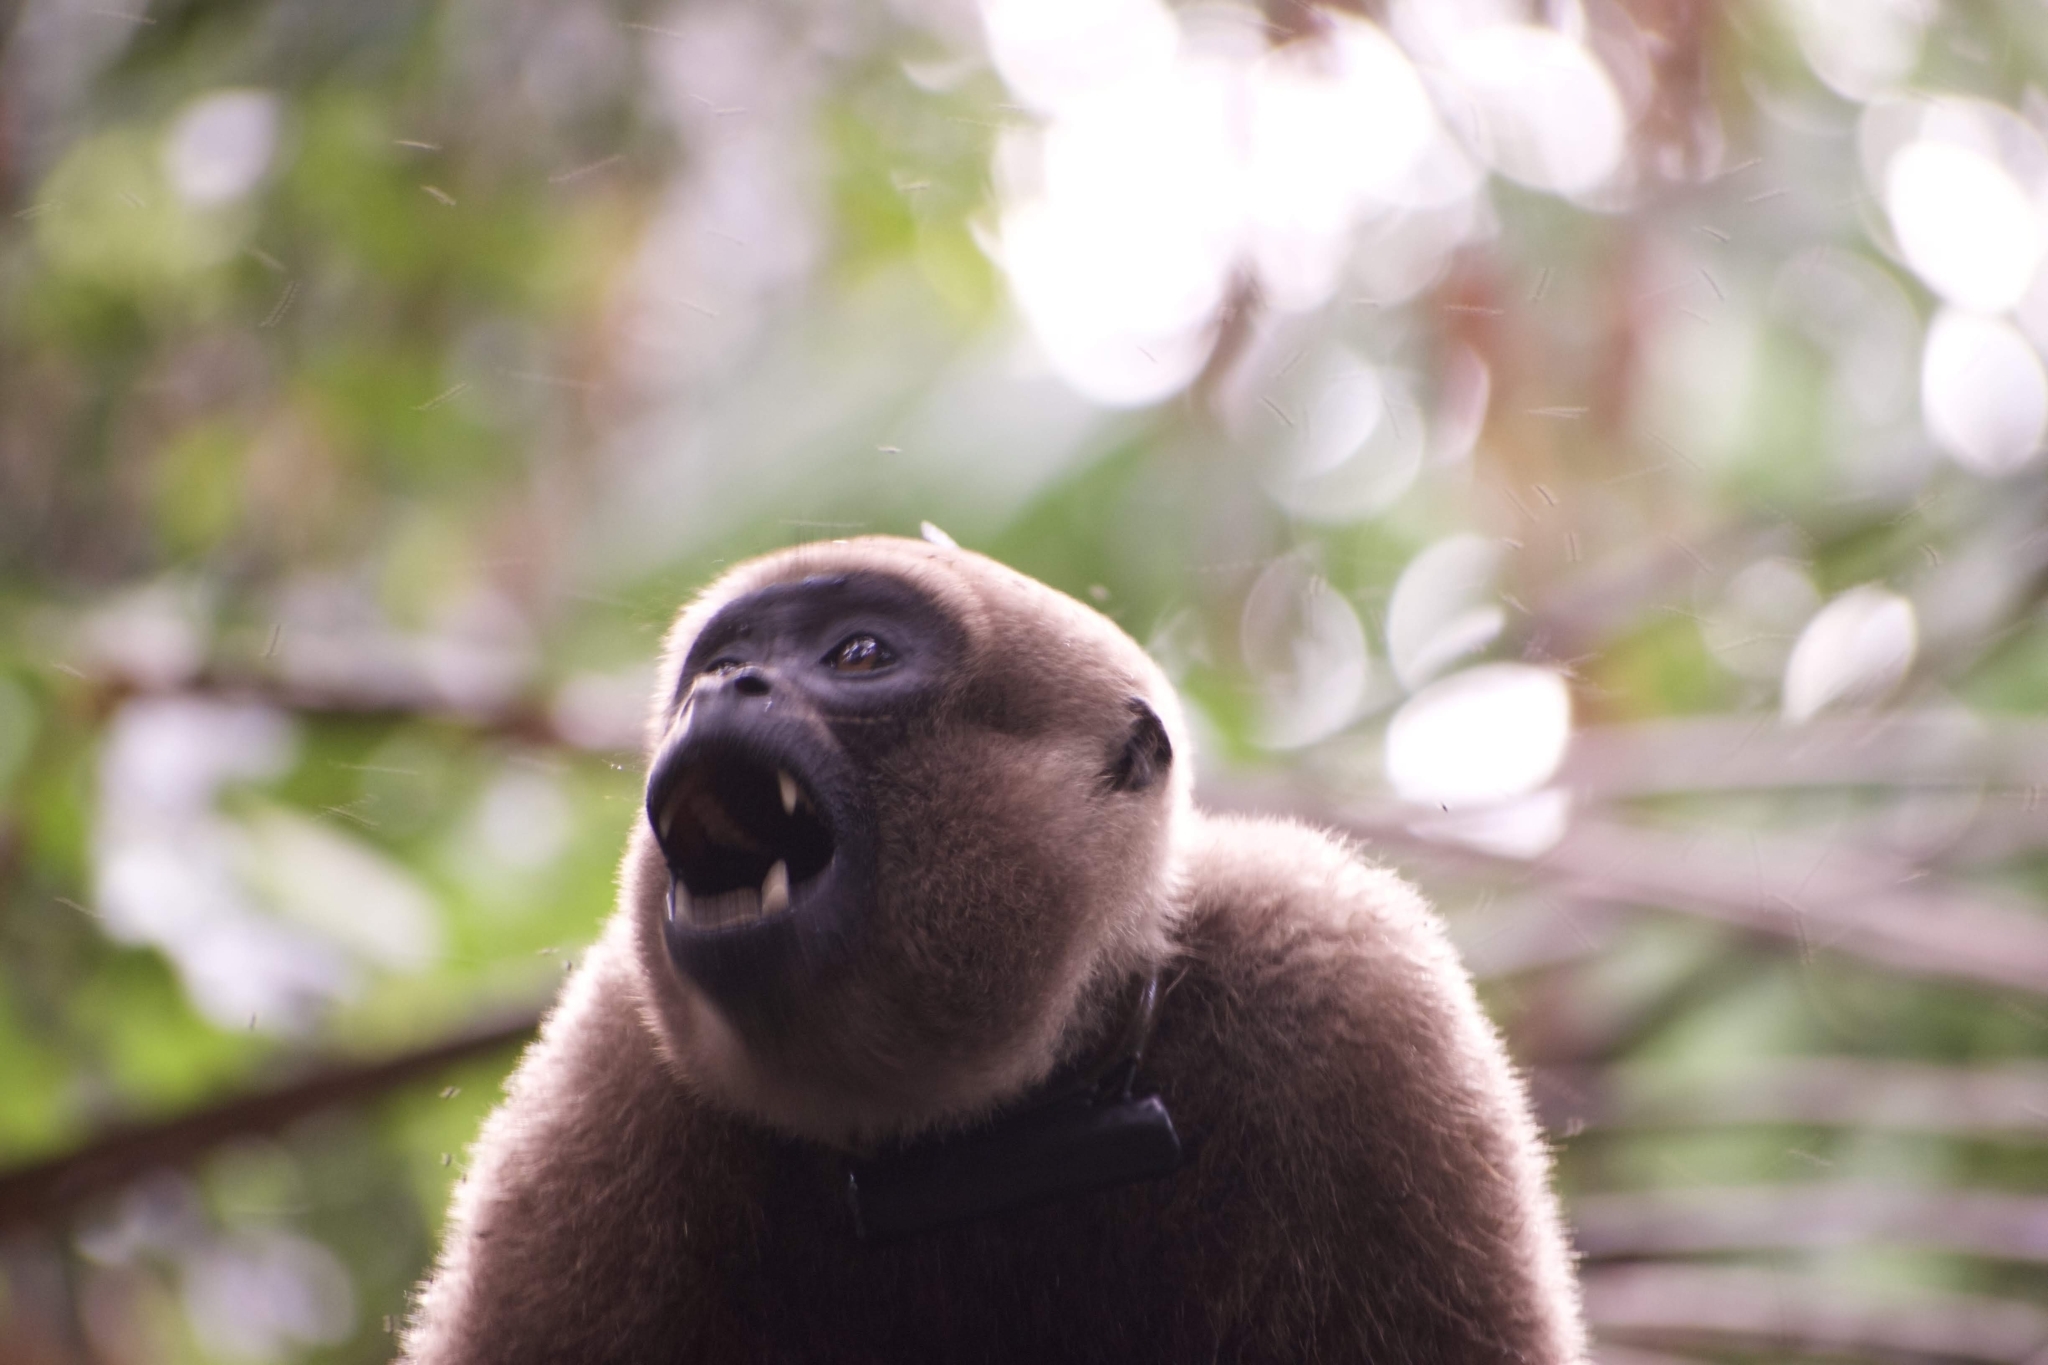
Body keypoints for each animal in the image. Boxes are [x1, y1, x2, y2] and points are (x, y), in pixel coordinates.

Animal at [399, 536, 1581, 1365]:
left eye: (858, 655)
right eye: (723, 663)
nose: (721, 690)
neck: (985, 1127)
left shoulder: (1352, 991)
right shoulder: (609, 1072)